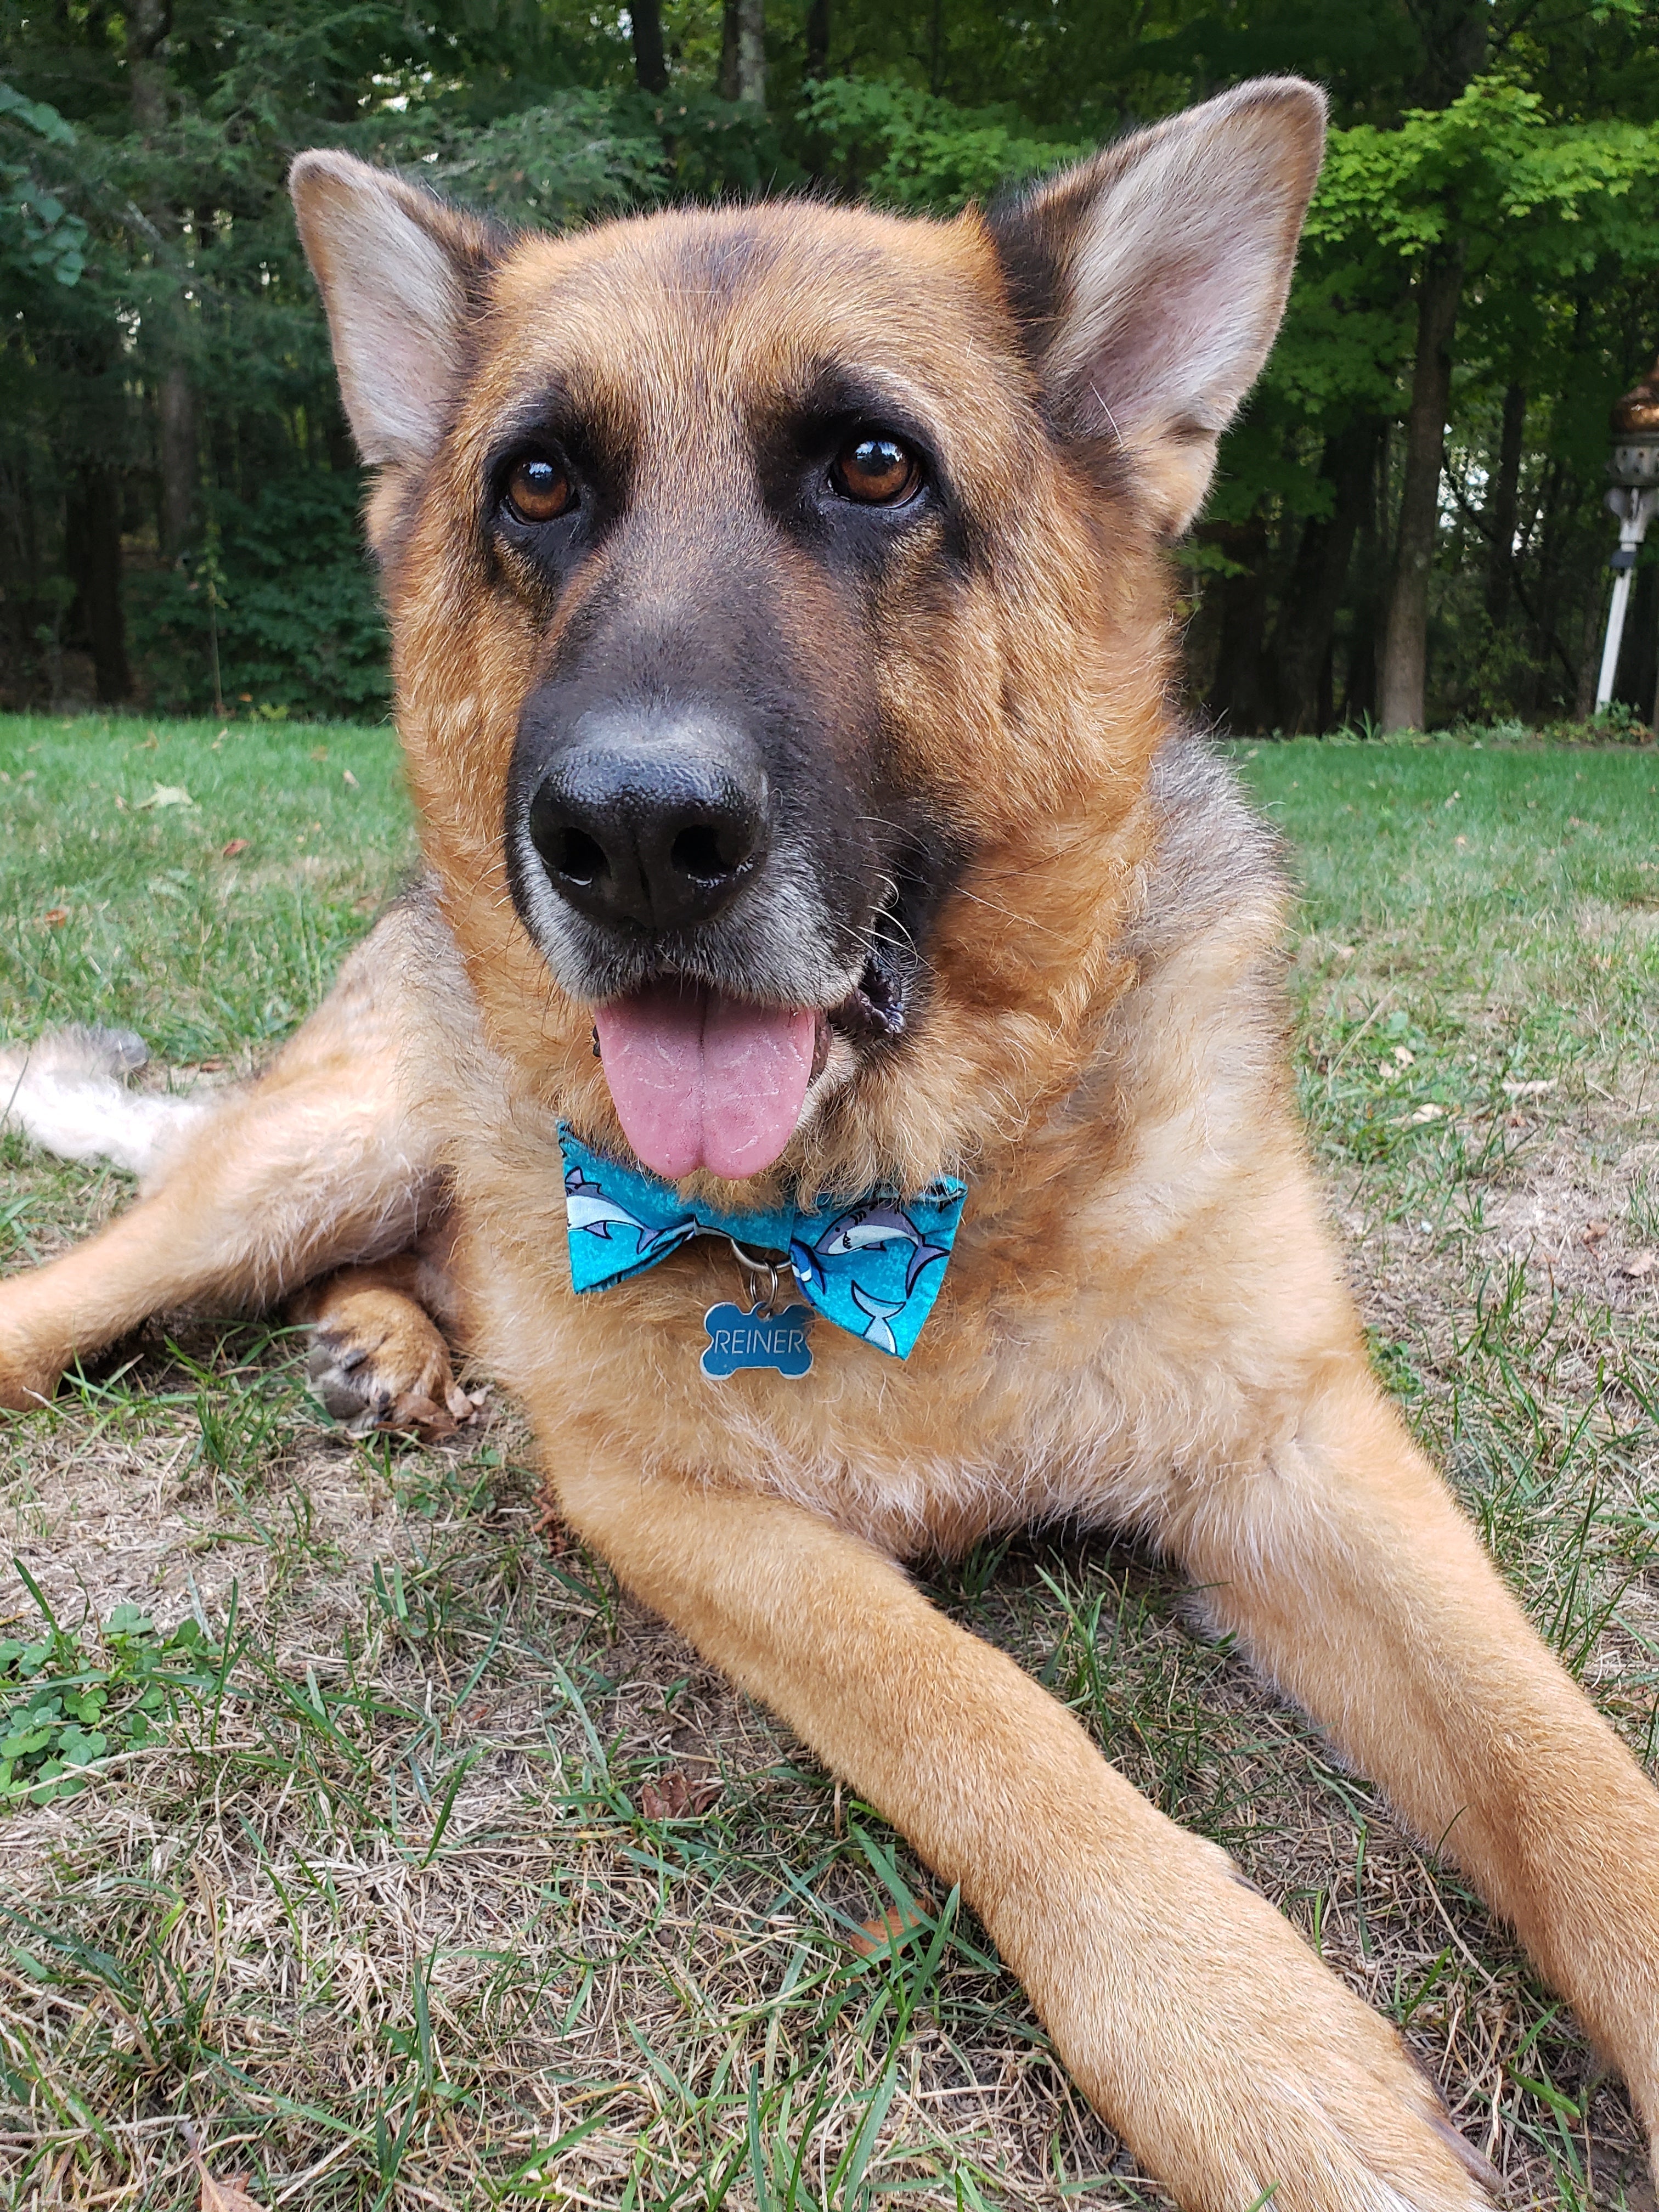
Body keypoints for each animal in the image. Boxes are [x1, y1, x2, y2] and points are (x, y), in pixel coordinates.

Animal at [3, 78, 1659, 2203]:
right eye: (536, 488)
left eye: (876, 467)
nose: (630, 838)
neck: (901, 1201)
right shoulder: (682, 1508)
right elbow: (982, 1718)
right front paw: (1251, 2045)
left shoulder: (1303, 1456)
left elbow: (1561, 1766)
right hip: (301, 1165)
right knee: (78, 1297)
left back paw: (390, 1347)